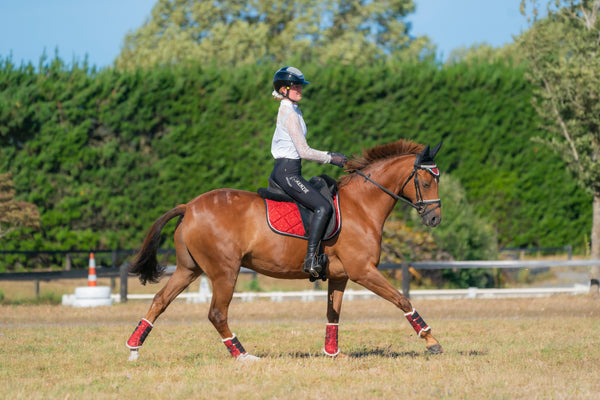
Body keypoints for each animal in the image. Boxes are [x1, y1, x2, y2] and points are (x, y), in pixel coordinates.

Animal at [126, 139, 442, 360]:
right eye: (426, 181)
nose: (435, 219)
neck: (361, 205)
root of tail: (189, 206)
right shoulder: (363, 271)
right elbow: (402, 300)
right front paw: (431, 340)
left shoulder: (340, 275)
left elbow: (333, 315)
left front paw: (332, 353)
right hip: (224, 271)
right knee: (217, 313)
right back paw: (242, 354)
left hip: (188, 269)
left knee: (160, 300)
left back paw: (134, 347)